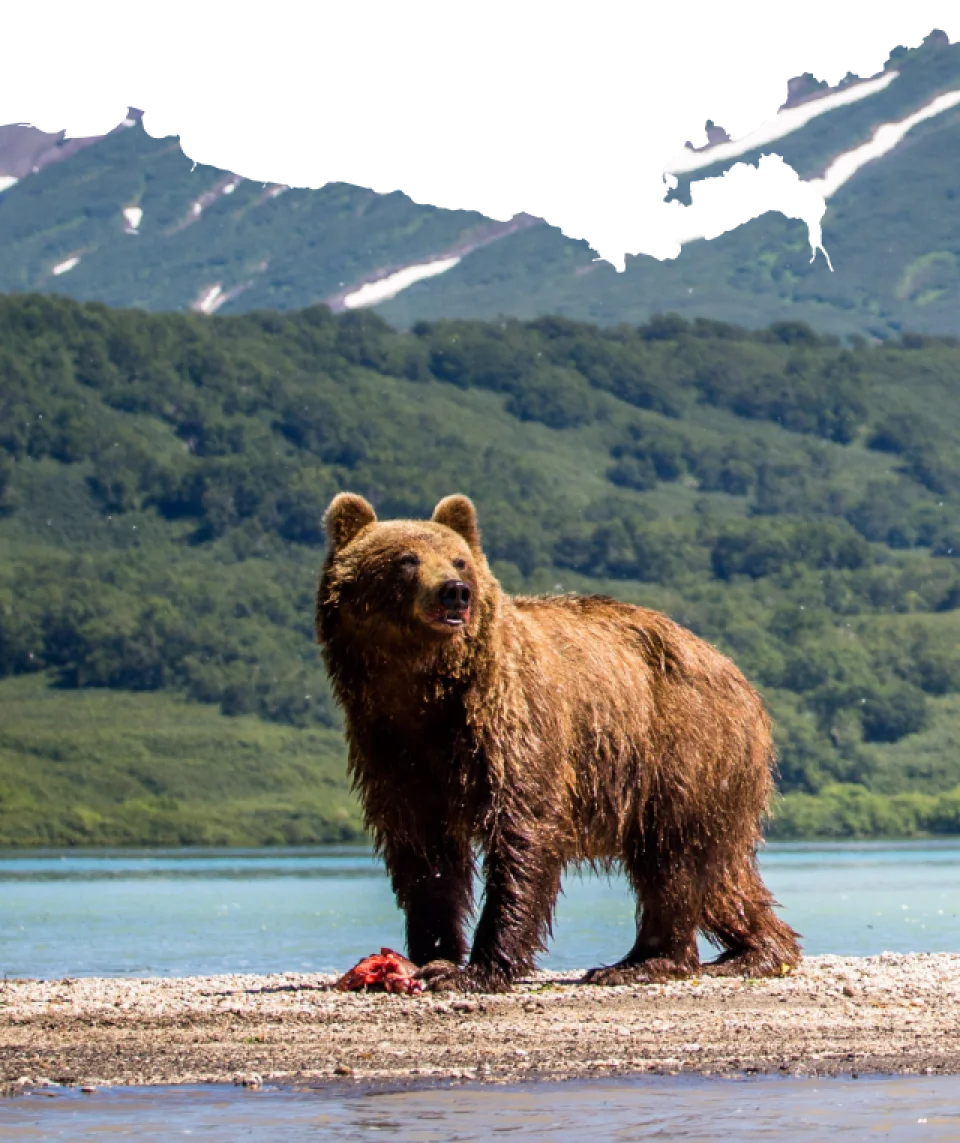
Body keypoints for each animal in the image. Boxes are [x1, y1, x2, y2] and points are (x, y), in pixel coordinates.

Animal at [315, 492, 801, 993]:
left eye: (460, 560)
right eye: (407, 559)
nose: (455, 590)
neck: (426, 688)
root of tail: (736, 675)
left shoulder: (512, 724)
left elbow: (523, 831)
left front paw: (479, 969)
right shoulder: (391, 746)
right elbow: (424, 851)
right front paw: (432, 954)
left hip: (684, 746)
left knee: (672, 860)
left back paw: (646, 960)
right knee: (721, 873)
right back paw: (756, 951)